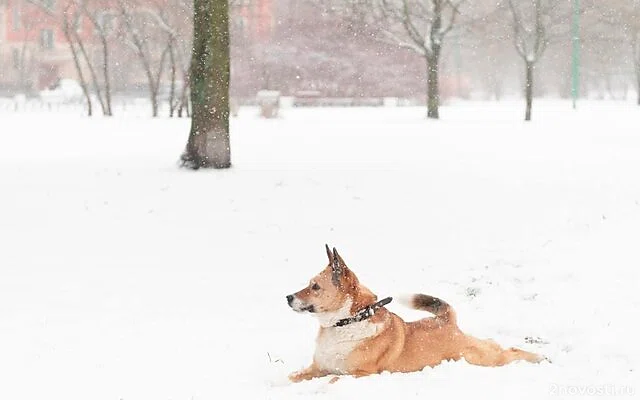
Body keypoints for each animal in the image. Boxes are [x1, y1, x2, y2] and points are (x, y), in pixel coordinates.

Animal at [288, 244, 544, 382]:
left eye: (315, 287)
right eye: (309, 284)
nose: (288, 297)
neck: (346, 322)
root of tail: (446, 320)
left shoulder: (361, 373)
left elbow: (332, 380)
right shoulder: (317, 368)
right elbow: (290, 378)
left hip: (479, 358)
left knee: (508, 352)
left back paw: (540, 358)